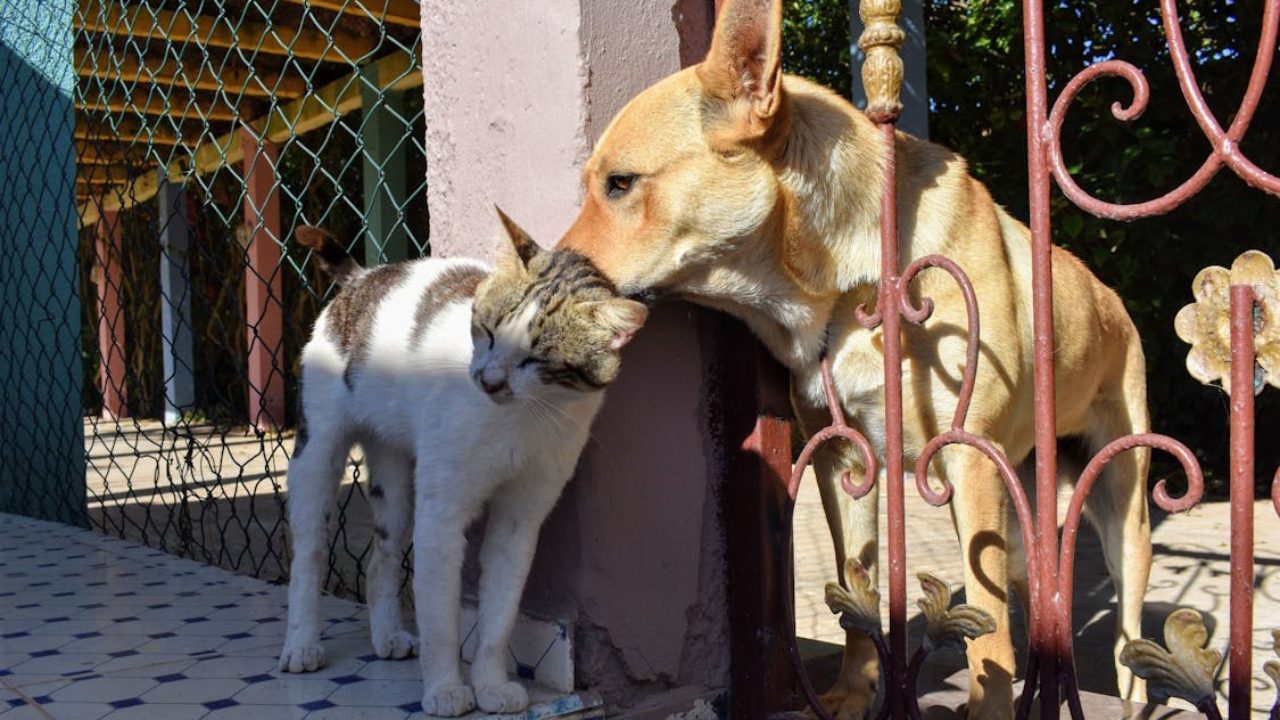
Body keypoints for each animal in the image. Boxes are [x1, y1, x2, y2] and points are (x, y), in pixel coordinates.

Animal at [275, 207, 645, 712]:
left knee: (380, 559)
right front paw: (446, 690)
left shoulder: (521, 519)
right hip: (318, 455)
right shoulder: (442, 516)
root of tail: (362, 278)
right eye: (486, 331)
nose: (488, 381)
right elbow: (442, 620)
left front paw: (490, 686)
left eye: (536, 359)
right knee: (308, 553)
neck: (523, 418)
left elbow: (499, 617)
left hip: (396, 479)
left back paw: (387, 636)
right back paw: (301, 644)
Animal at [555, 0, 1157, 712]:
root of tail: (1115, 302)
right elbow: (857, 587)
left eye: (620, 184)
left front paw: (988, 706)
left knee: (1122, 616)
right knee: (1033, 591)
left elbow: (985, 631)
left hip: (1121, 508)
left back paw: (1129, 690)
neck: (855, 285)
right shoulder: (843, 462)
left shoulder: (969, 461)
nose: (541, 273)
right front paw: (853, 690)